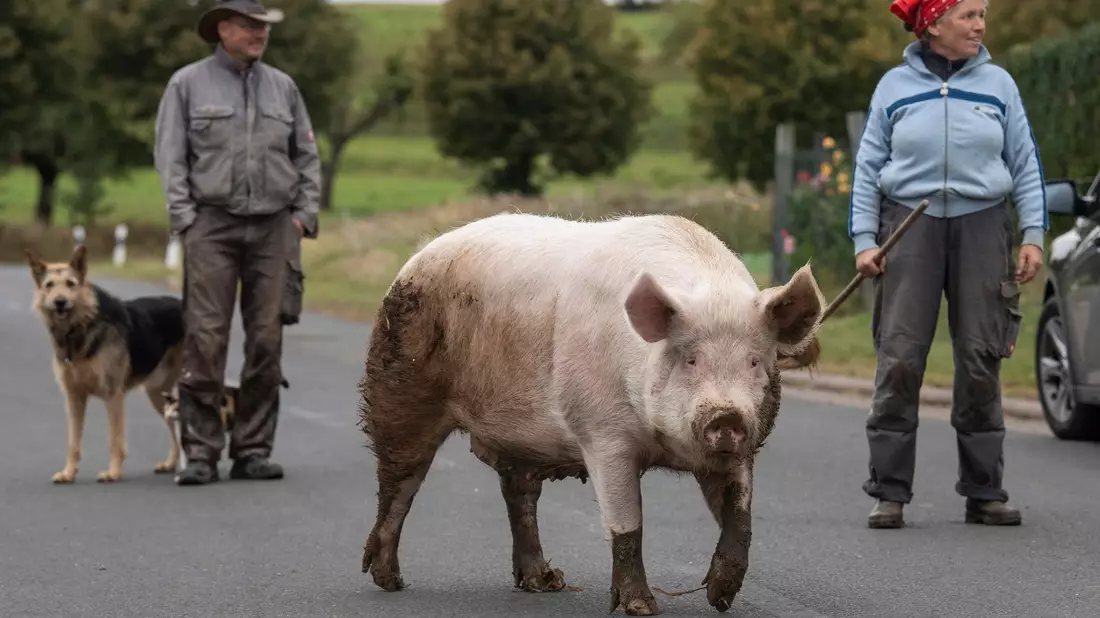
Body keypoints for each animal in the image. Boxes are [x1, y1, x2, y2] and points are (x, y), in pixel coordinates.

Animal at [358, 212, 824, 616]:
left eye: (754, 362)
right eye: (691, 359)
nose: (726, 417)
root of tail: (416, 258)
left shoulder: (742, 449)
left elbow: (739, 517)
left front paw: (721, 597)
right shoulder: (602, 433)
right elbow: (627, 523)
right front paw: (642, 608)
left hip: (519, 438)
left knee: (519, 496)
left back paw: (546, 583)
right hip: (400, 390)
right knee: (398, 483)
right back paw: (390, 581)